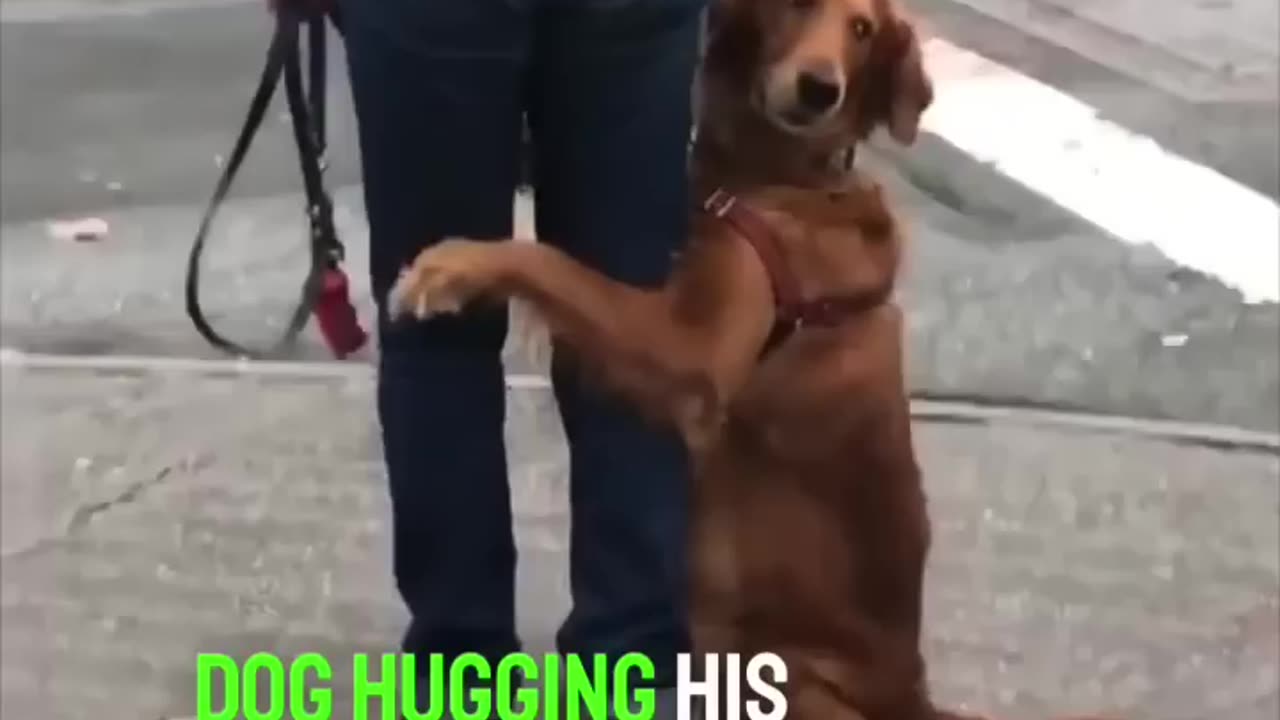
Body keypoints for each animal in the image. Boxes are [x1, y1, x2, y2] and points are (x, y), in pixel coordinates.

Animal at [384, 1, 1105, 717]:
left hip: (781, 674)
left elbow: (555, 264)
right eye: (797, 6)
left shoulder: (694, 356)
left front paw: (455, 266)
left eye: (863, 30)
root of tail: (911, 698)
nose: (819, 88)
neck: (780, 173)